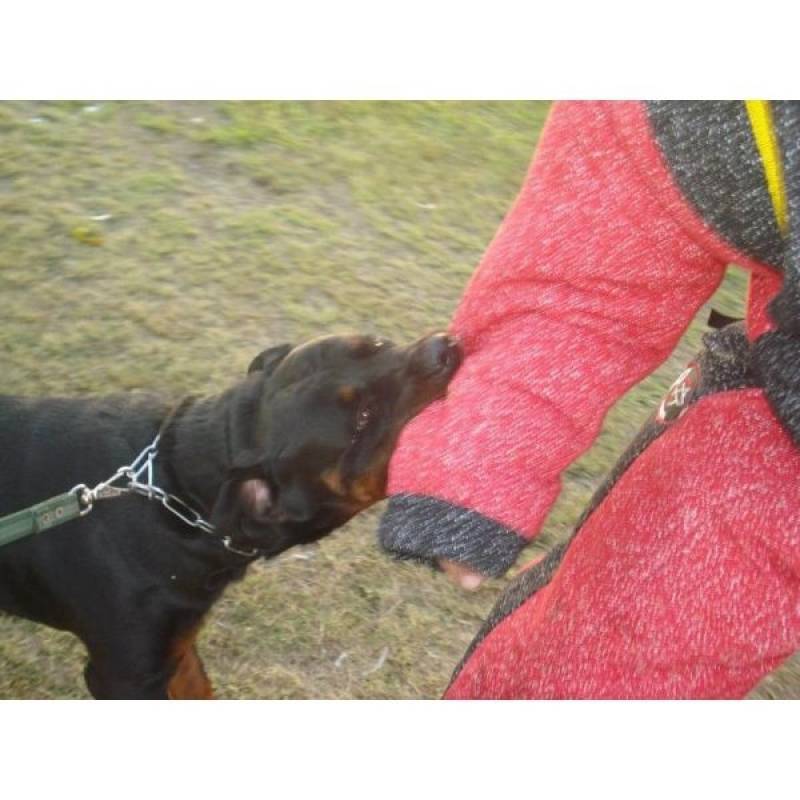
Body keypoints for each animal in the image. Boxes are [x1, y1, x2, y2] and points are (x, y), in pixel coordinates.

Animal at [0, 330, 460, 692]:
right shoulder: (126, 675)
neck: (177, 490)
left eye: (377, 343)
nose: (445, 348)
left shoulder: (178, 651)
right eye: (363, 419)